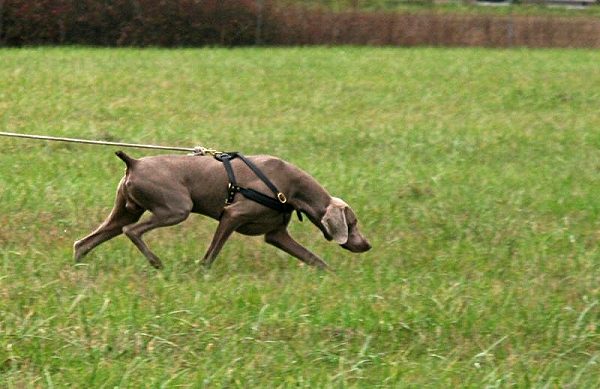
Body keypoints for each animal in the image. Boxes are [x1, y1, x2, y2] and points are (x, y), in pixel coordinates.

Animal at [72, 150, 368, 268]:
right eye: (353, 223)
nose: (367, 245)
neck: (291, 188)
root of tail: (133, 162)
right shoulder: (232, 216)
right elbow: (210, 255)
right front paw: (201, 272)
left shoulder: (276, 234)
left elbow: (315, 259)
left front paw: (334, 277)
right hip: (177, 207)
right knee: (131, 230)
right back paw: (156, 262)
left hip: (126, 208)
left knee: (84, 242)